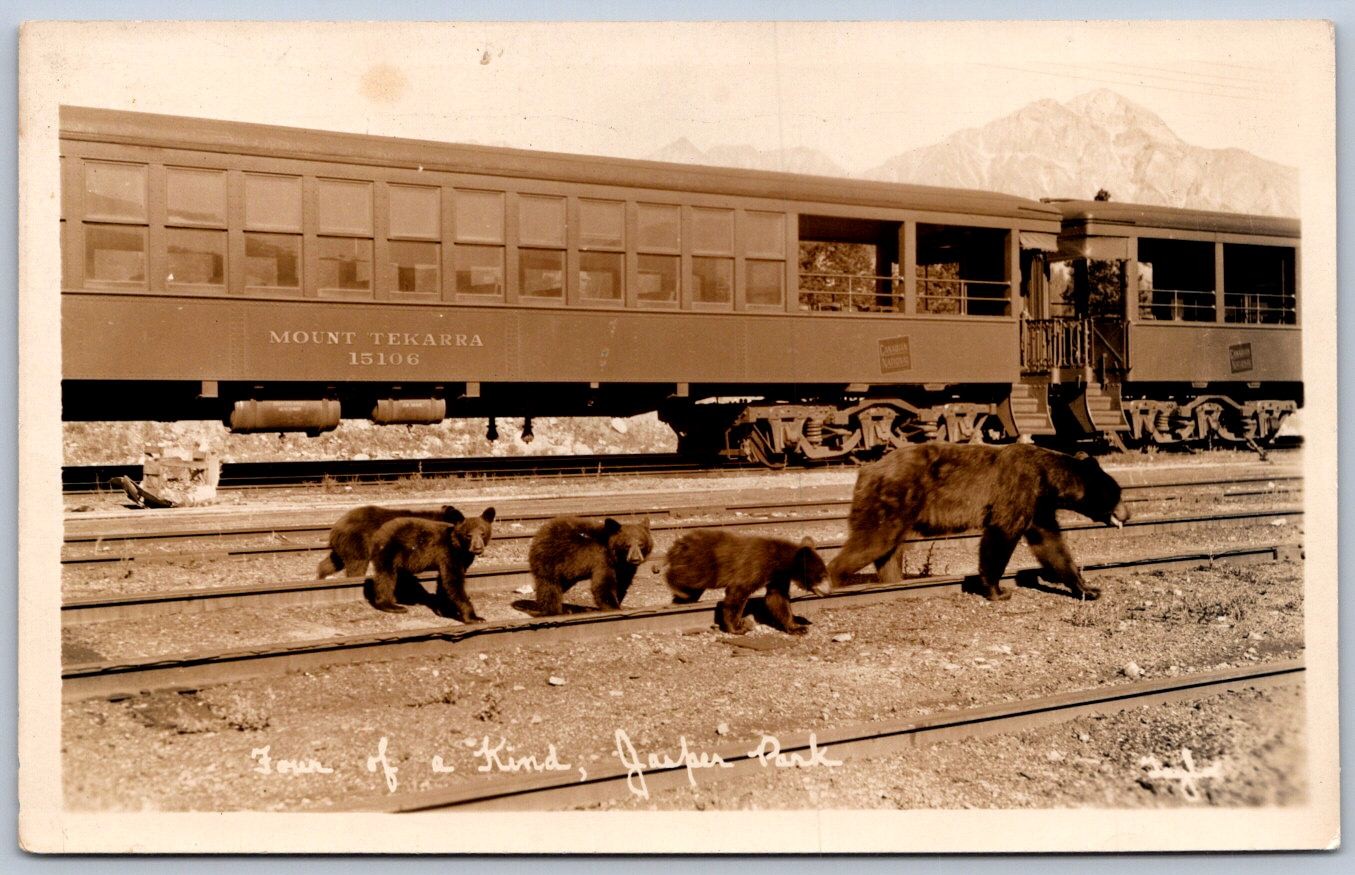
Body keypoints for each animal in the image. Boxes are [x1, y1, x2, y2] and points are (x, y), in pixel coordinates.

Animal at [317, 504, 466, 579]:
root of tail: (336, 526)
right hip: (358, 541)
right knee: (357, 564)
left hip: (344, 546)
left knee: (333, 562)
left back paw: (320, 576)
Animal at [367, 507, 496, 620]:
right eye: (468, 535)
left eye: (483, 533)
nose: (478, 548)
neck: (459, 547)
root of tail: (379, 531)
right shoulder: (449, 553)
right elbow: (453, 581)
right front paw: (474, 617)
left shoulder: (459, 559)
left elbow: (444, 582)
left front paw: (445, 610)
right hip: (389, 550)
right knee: (386, 576)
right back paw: (391, 605)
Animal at [664, 529, 830, 635]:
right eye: (822, 575)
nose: (829, 591)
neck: (778, 561)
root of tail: (678, 544)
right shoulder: (756, 564)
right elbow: (738, 591)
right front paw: (737, 627)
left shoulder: (778, 576)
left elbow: (776, 598)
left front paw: (797, 627)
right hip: (702, 563)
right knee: (688, 579)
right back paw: (677, 588)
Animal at [826, 443, 1128, 601]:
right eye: (1118, 493)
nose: (1128, 514)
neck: (1048, 480)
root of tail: (866, 470)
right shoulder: (1019, 488)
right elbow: (1001, 534)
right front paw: (997, 590)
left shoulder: (1039, 506)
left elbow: (1052, 546)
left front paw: (1088, 588)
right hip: (892, 497)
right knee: (872, 541)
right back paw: (830, 581)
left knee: (888, 552)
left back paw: (892, 582)